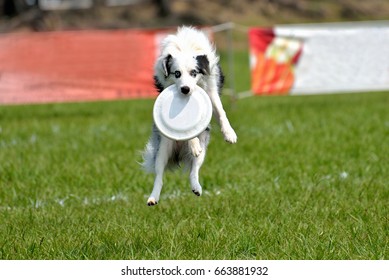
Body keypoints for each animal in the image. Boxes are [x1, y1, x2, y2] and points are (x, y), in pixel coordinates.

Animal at [141, 26, 235, 206]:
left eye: (194, 73)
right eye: (177, 73)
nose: (185, 89)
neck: (185, 49)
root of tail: (178, 152)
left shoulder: (211, 88)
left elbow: (221, 111)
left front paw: (229, 134)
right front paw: (193, 143)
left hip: (203, 148)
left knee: (194, 169)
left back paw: (196, 187)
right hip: (163, 148)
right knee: (159, 176)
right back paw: (153, 198)